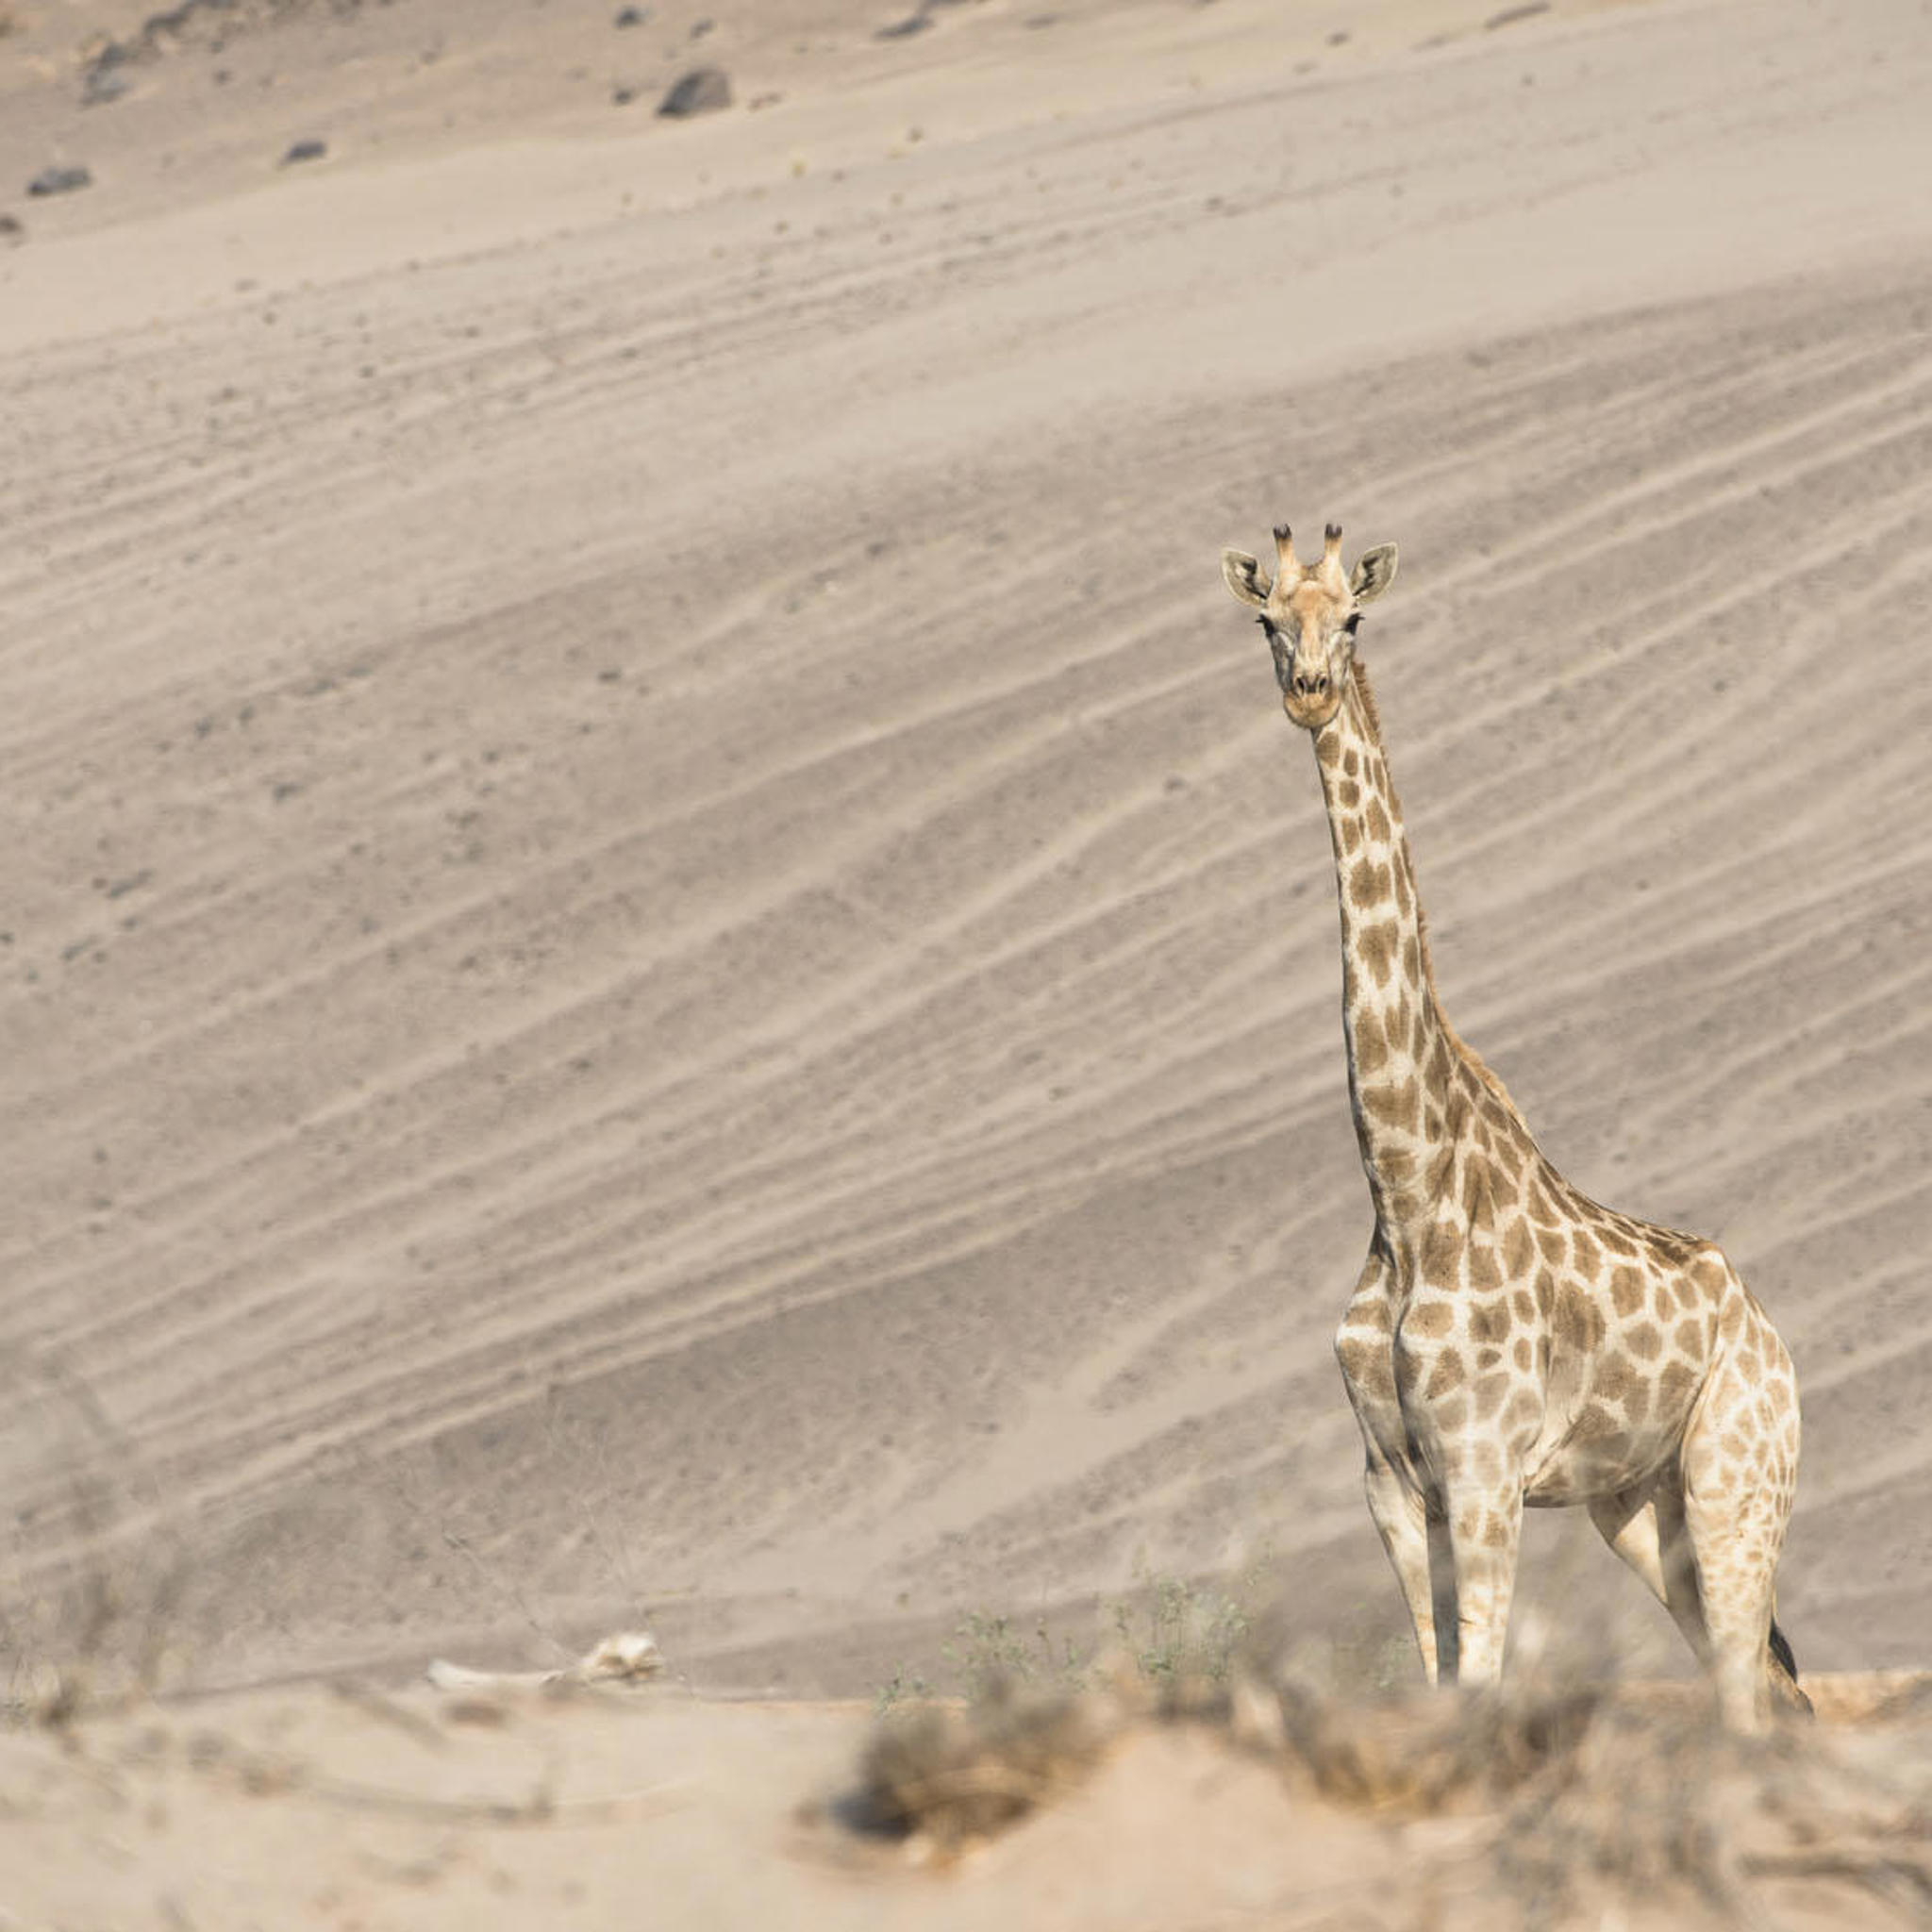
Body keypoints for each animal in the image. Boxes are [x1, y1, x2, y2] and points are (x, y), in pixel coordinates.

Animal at [1220, 521, 1805, 1731]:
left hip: (1735, 1480)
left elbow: (1480, 1685)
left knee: (1749, 1696)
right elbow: (1438, 1683)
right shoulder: (1392, 1482)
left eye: (1353, 615)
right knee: (1763, 1685)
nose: (1308, 693)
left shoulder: (1484, 1472)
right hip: (1638, 1508)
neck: (1403, 1190)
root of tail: (1773, 1342)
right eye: (1265, 620)